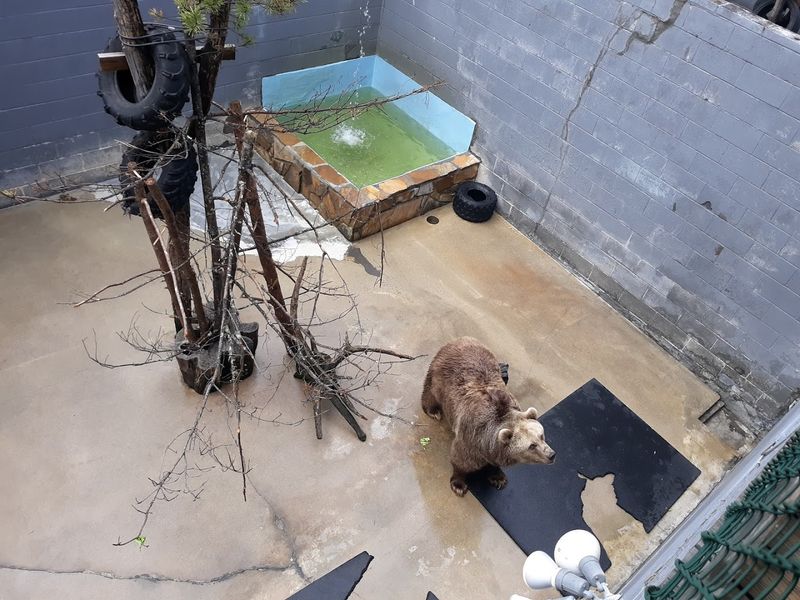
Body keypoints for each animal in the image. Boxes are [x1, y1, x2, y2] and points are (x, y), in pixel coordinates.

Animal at [421, 337, 555, 496]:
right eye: (532, 446)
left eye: (541, 436)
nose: (551, 454)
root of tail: (463, 339)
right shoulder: (471, 436)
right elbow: (462, 460)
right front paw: (459, 484)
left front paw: (498, 478)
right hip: (441, 375)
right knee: (431, 391)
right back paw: (433, 410)